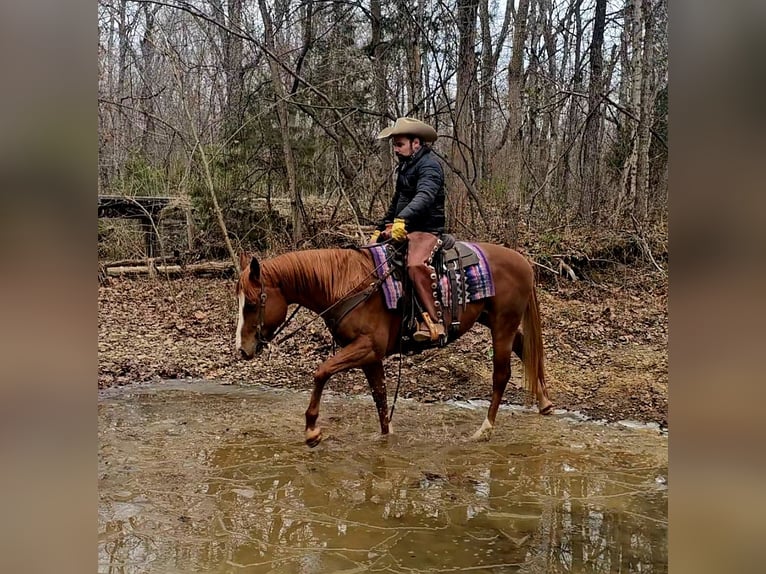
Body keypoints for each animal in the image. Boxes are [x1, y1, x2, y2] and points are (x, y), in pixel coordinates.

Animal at [235, 243, 553, 447]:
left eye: (251, 303)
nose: (242, 349)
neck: (346, 285)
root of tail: (524, 262)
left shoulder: (366, 348)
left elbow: (321, 372)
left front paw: (312, 431)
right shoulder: (370, 356)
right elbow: (380, 395)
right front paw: (386, 435)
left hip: (502, 324)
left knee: (501, 375)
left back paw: (484, 429)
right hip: (494, 321)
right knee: (525, 348)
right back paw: (545, 403)